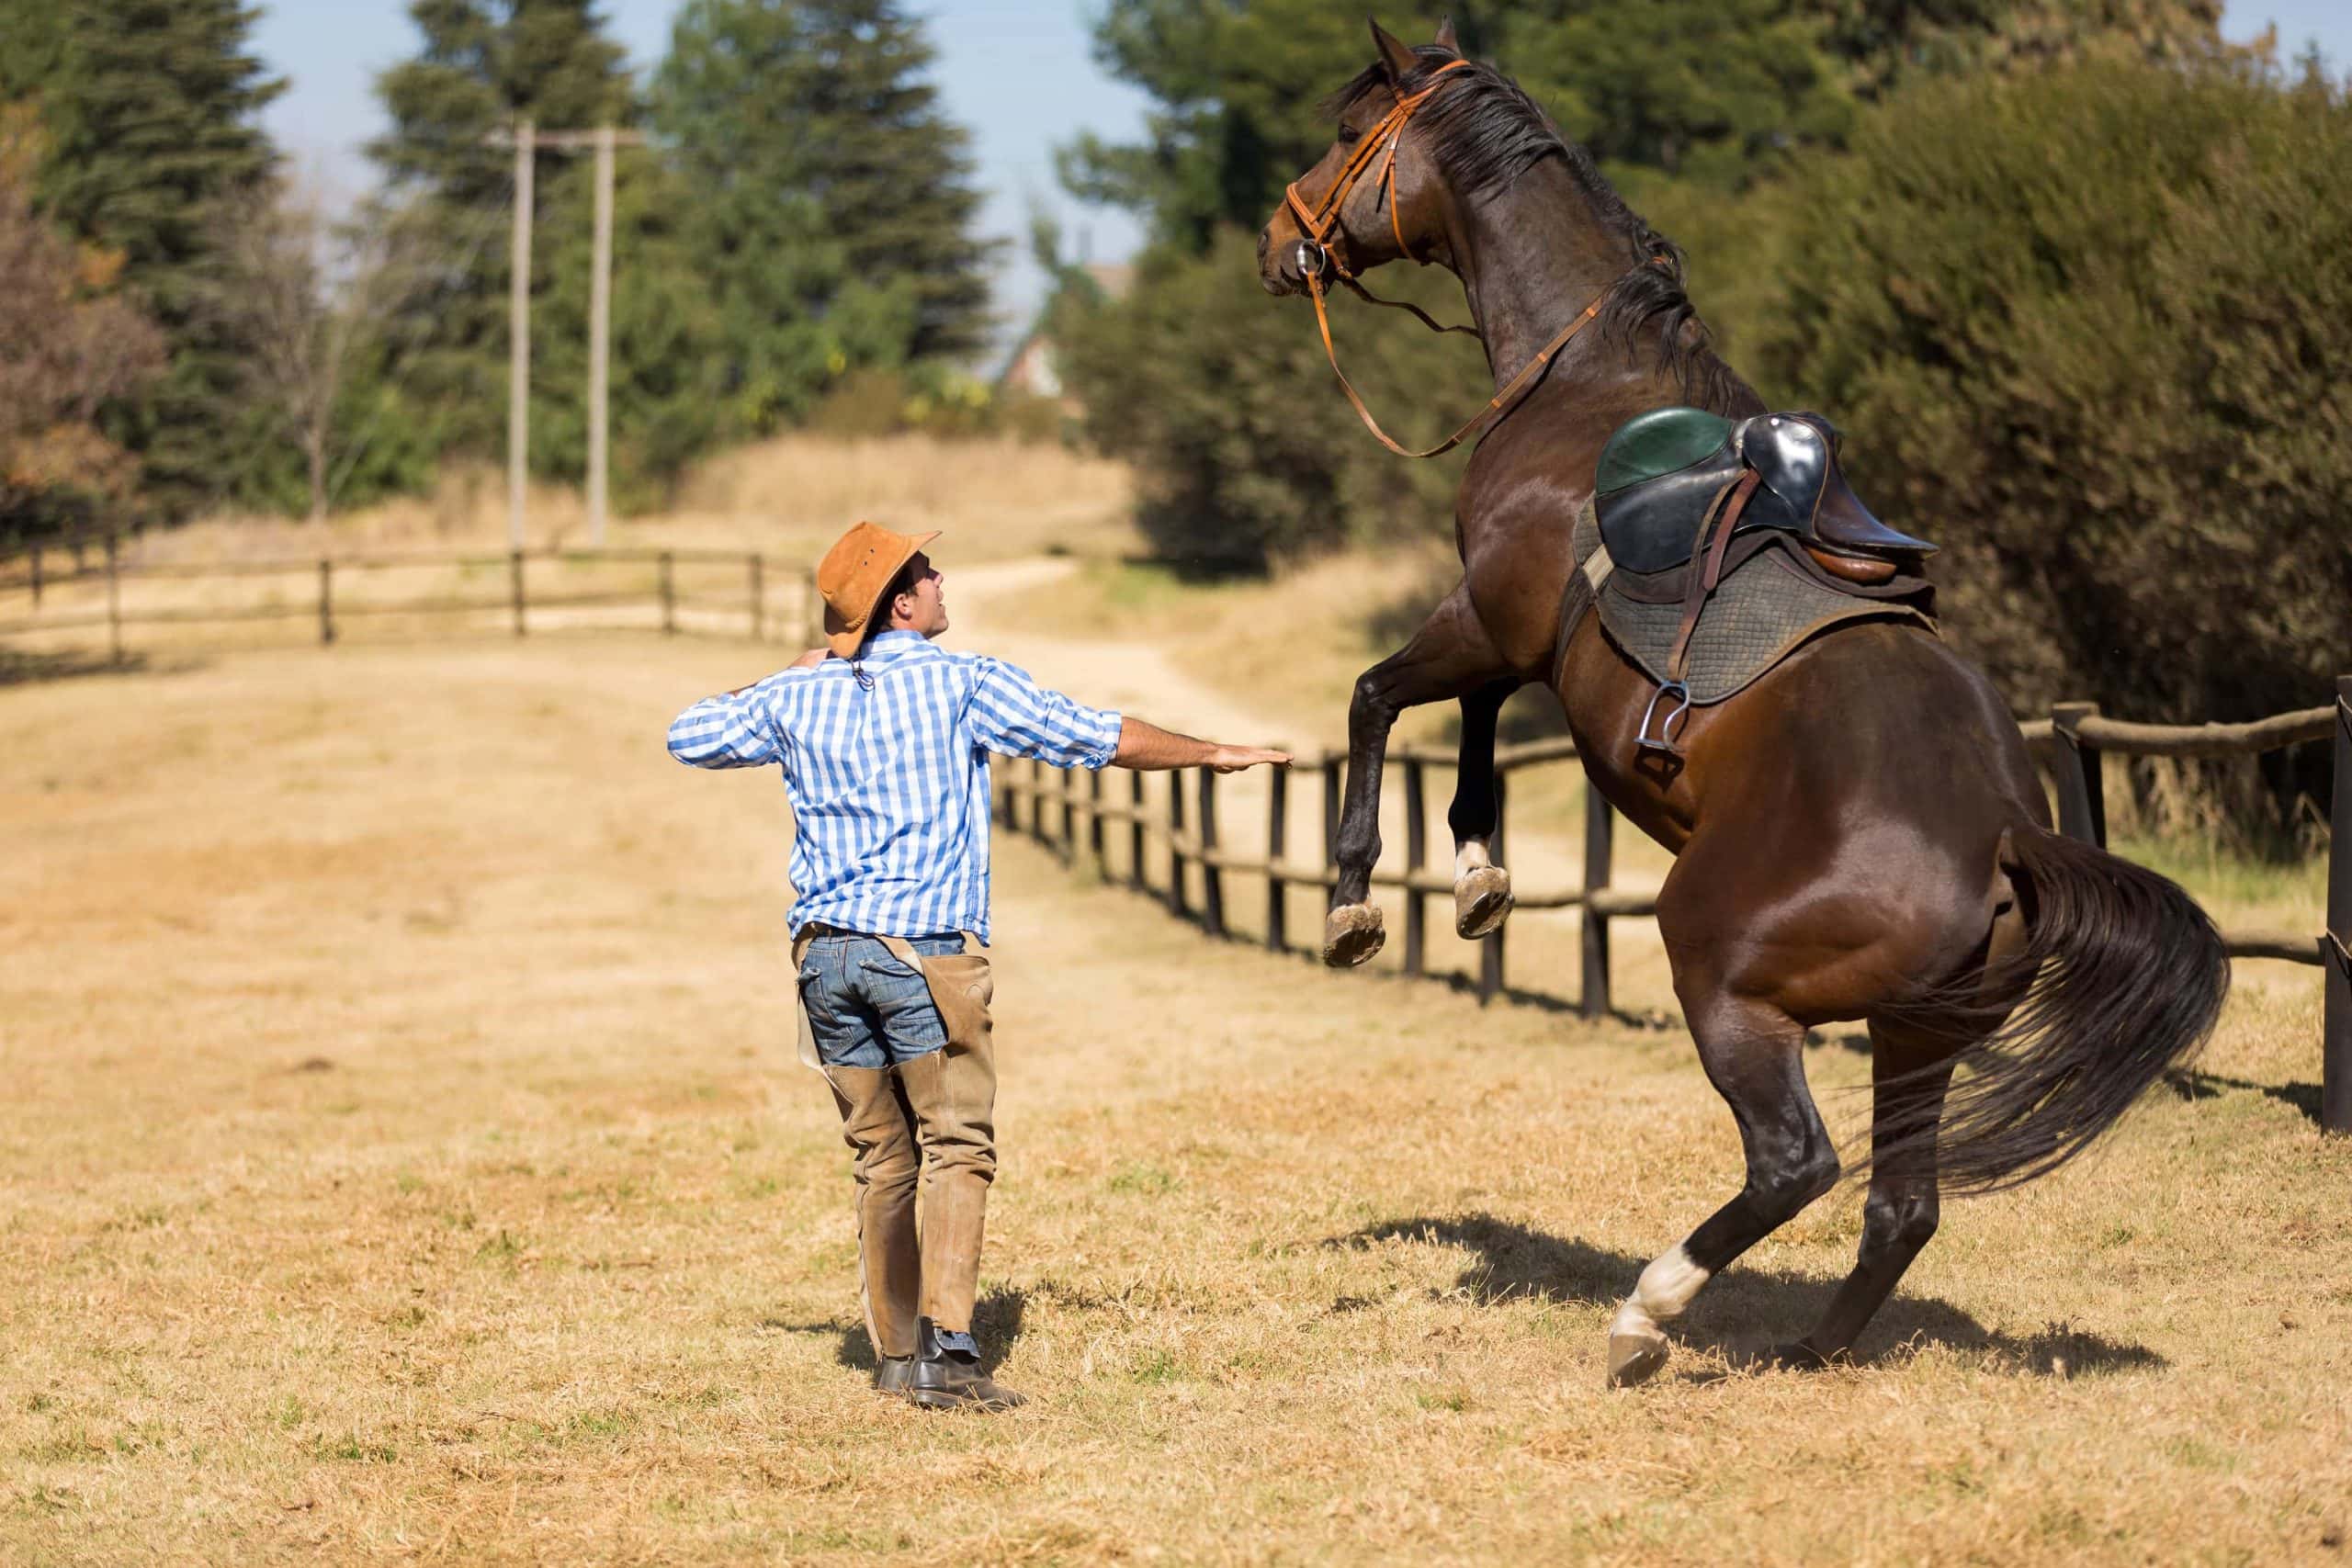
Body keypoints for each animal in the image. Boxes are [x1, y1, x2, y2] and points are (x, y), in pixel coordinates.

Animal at [1250, 21, 2220, 1382]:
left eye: (1348, 132)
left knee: (1795, 1162)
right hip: (1917, 1038)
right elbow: (1472, 729)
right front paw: (1481, 874)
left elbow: (1378, 701)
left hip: (1723, 974)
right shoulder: (1516, 638)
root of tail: (2002, 838)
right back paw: (1813, 1348)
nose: (1278, 243)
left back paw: (1648, 1313)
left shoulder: (1490, 616)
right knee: (1898, 1204)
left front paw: (1356, 902)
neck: (1585, 384)